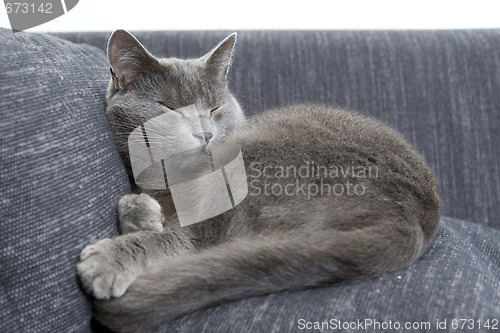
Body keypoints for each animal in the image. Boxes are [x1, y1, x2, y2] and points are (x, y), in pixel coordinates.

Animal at [76, 29, 440, 330]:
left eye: (215, 109)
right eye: (170, 109)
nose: (206, 134)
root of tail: (411, 216)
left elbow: (176, 238)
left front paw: (108, 259)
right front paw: (142, 212)